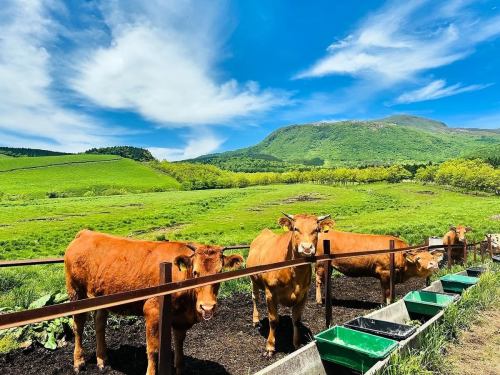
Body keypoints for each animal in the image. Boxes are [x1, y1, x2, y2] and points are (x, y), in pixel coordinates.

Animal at [64, 231, 244, 374]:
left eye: (220, 272)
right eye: (195, 272)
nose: (207, 307)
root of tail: (85, 233)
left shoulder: (180, 320)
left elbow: (179, 345)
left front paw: (179, 369)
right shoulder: (152, 312)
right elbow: (153, 350)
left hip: (101, 296)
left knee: (99, 324)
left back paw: (102, 359)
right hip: (76, 292)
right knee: (78, 326)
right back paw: (79, 362)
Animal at [247, 214, 334, 358]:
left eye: (316, 229)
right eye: (295, 228)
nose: (306, 248)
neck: (293, 271)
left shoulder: (303, 294)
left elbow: (296, 320)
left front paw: (296, 344)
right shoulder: (270, 293)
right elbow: (273, 320)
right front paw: (270, 346)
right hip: (253, 280)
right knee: (255, 298)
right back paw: (255, 320)